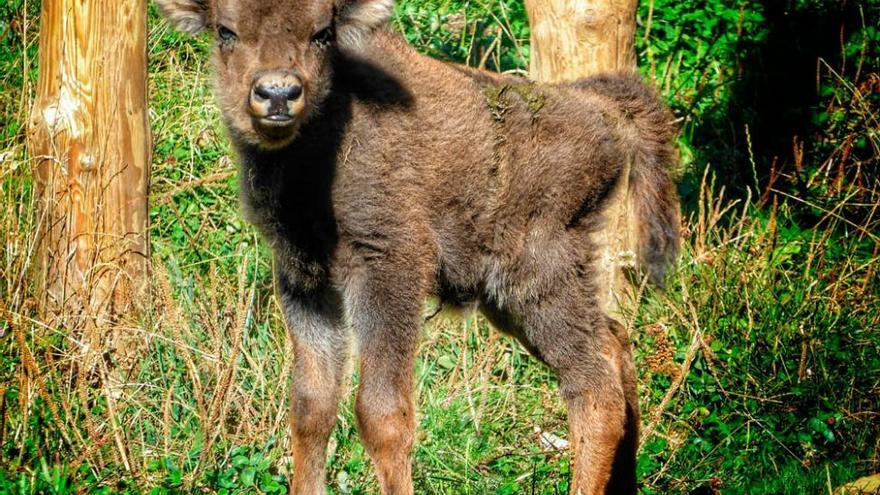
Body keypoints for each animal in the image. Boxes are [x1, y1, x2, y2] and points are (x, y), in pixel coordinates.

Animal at [158, 0, 680, 495]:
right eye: (226, 30)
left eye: (322, 32)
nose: (278, 94)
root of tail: (596, 106)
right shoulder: (304, 279)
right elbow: (311, 409)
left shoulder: (389, 267)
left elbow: (381, 415)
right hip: (513, 299)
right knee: (613, 341)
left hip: (536, 278)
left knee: (593, 390)